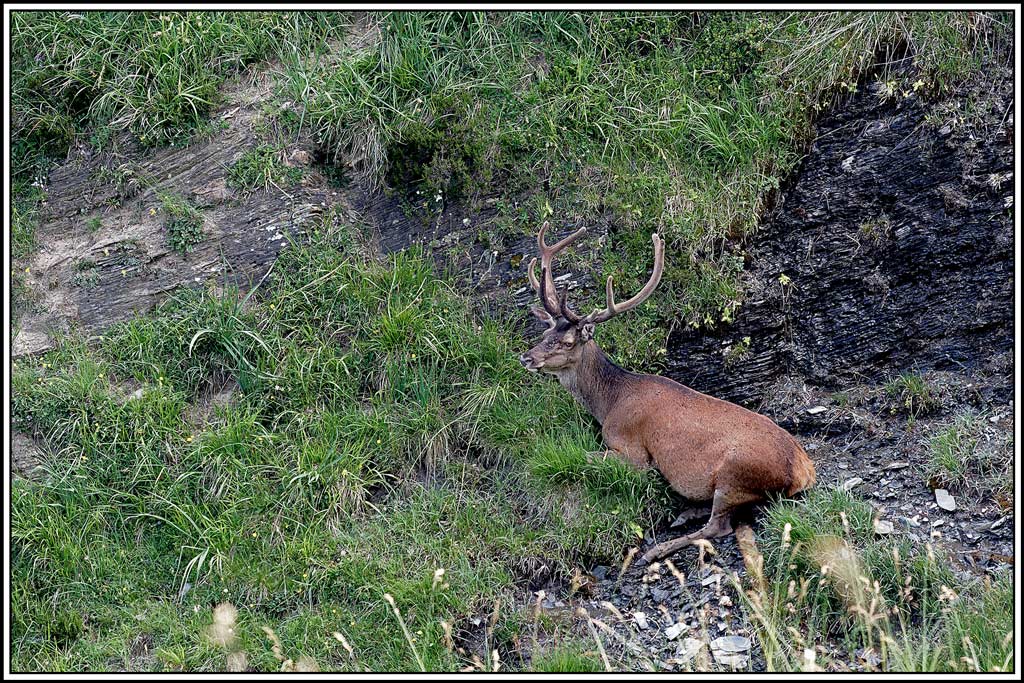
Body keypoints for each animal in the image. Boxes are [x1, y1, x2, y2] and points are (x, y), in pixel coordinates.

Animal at [519, 222, 816, 564]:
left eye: (568, 342)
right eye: (545, 333)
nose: (527, 357)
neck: (609, 402)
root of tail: (804, 471)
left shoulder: (633, 451)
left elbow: (582, 456)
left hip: (735, 473)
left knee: (719, 527)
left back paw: (657, 549)